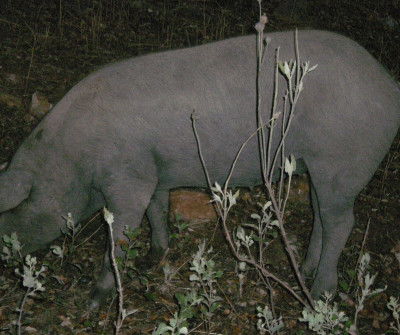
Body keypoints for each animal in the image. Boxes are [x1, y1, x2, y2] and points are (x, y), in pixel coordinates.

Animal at [0, 30, 400, 308]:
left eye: (13, 210)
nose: (7, 258)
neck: (73, 160)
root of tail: (388, 84)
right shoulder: (153, 169)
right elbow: (157, 209)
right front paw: (153, 258)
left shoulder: (127, 177)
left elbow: (121, 235)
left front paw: (93, 301)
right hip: (318, 168)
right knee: (321, 213)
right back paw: (303, 269)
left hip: (342, 164)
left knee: (341, 222)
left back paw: (317, 295)